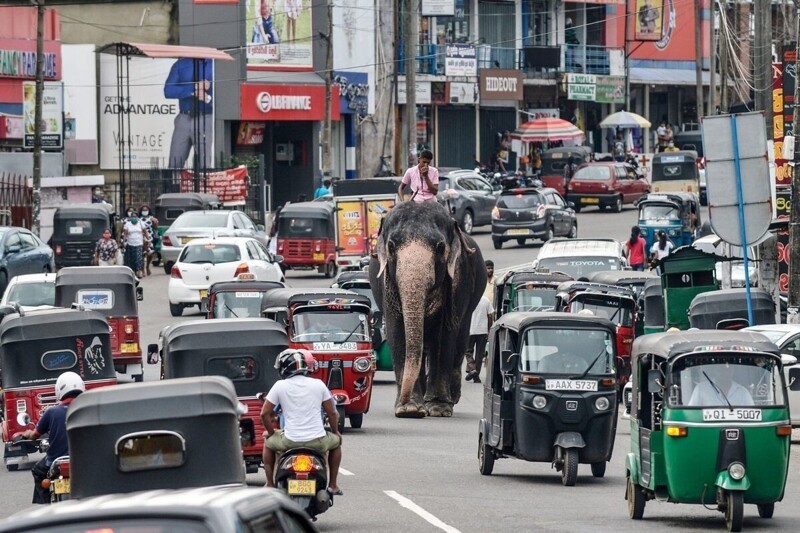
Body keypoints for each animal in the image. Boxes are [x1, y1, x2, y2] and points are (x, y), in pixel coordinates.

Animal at [368, 200, 488, 416]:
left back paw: (450, 398)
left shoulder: (458, 277)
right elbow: (396, 330)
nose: (404, 399)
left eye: (440, 247)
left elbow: (444, 334)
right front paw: (409, 409)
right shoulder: (386, 284)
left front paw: (438, 408)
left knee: (459, 340)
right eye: (391, 246)